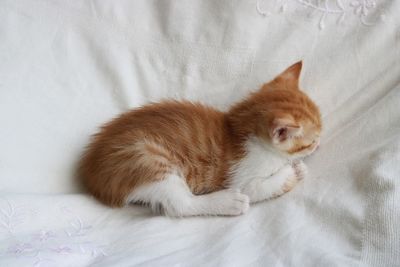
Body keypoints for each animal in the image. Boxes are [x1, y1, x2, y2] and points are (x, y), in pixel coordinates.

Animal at [78, 62, 322, 218]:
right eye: (311, 142)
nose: (319, 145)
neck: (241, 127)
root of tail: (92, 176)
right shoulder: (242, 177)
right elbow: (262, 187)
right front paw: (292, 171)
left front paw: (296, 167)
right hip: (147, 158)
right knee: (179, 205)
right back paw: (229, 202)